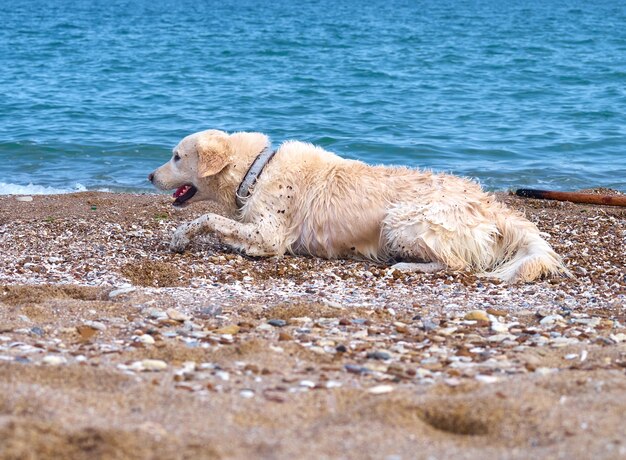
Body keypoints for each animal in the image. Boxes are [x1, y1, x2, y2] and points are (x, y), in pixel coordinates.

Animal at [149, 127, 568, 282]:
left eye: (176, 157)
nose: (150, 176)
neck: (257, 168)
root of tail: (492, 206)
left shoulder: (269, 236)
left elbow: (208, 219)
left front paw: (180, 237)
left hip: (401, 219)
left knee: (456, 263)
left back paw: (405, 265)